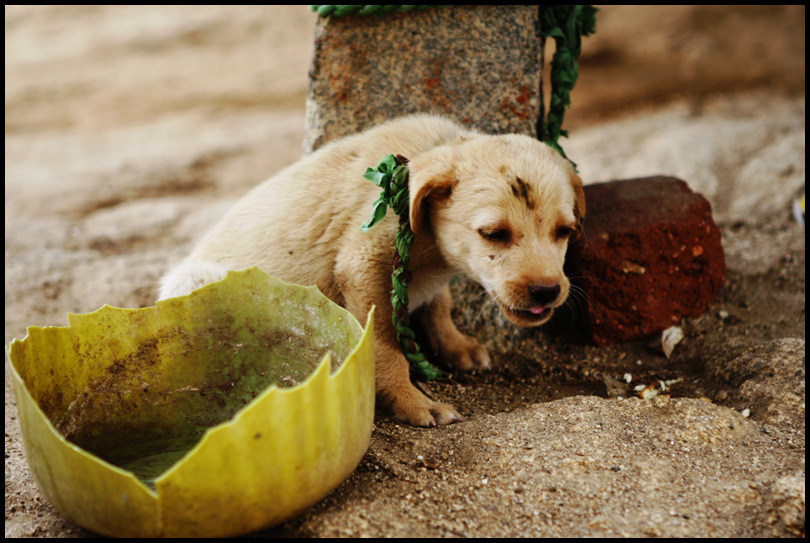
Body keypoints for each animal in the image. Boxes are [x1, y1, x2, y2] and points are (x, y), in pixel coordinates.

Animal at [159, 116, 580, 430]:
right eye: (493, 234)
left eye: (565, 231)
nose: (546, 290)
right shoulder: (363, 266)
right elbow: (385, 348)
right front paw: (414, 403)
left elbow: (438, 305)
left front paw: (458, 347)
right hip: (195, 284)